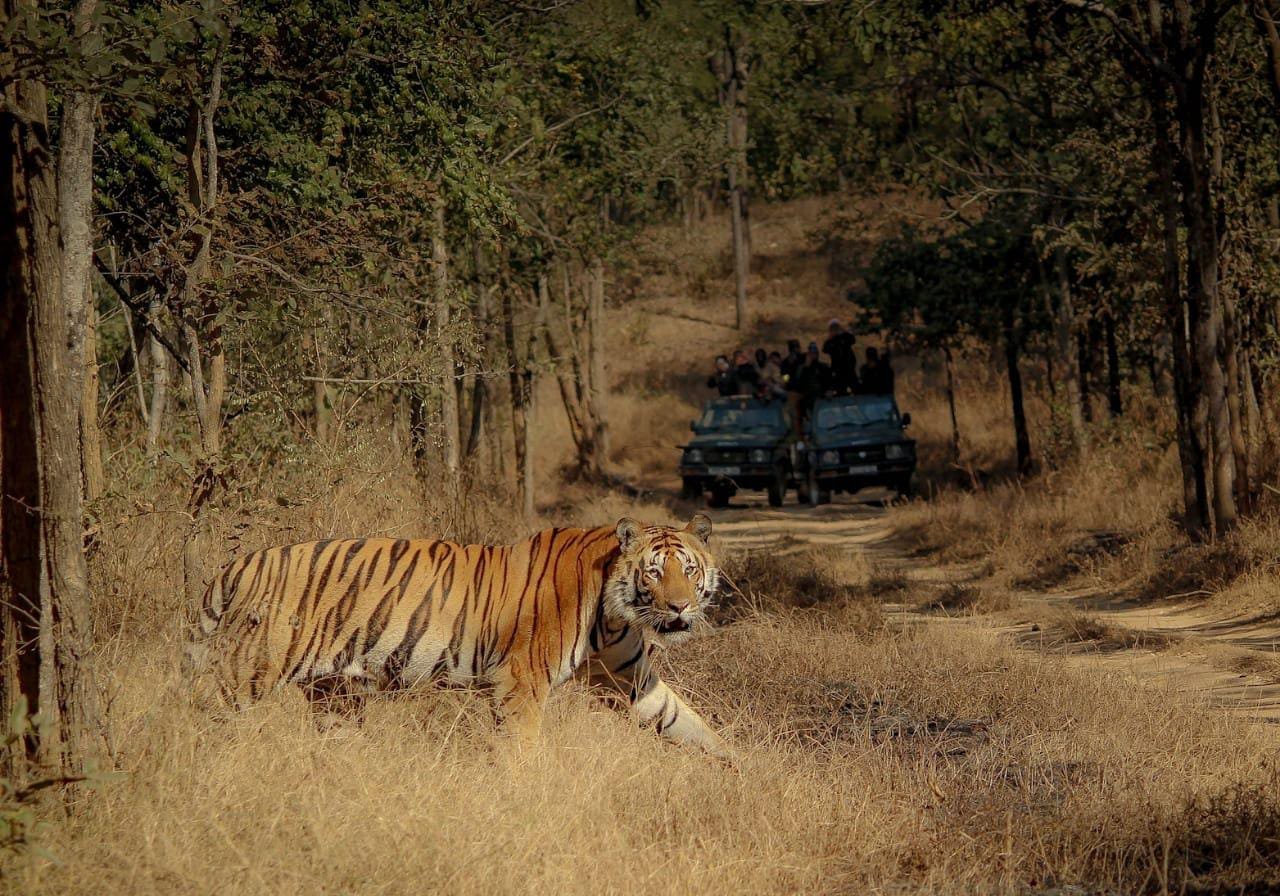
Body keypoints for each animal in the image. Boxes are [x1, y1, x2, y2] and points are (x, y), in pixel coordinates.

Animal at [188, 512, 732, 757]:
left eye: (688, 569)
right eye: (654, 573)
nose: (680, 606)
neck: (615, 613)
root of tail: (235, 566)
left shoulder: (630, 678)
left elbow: (683, 720)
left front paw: (739, 769)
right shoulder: (520, 682)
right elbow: (520, 750)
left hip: (333, 695)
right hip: (248, 673)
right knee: (200, 715)